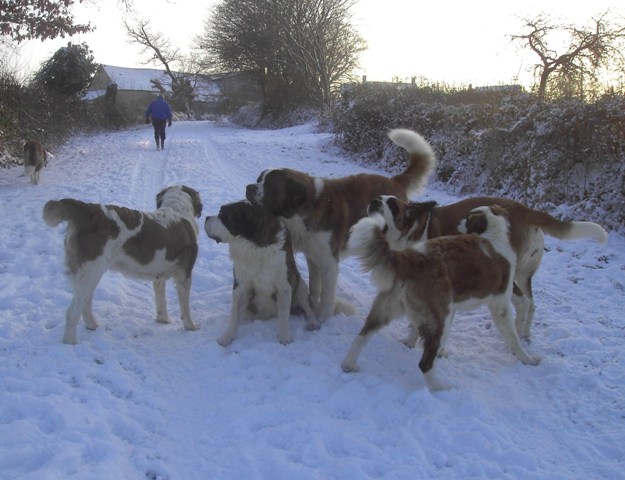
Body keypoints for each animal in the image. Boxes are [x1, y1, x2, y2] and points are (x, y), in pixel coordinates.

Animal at [42, 185, 202, 344]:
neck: (178, 209)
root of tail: (87, 209)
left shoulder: (158, 276)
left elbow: (161, 299)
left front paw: (163, 319)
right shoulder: (184, 274)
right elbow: (185, 306)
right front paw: (191, 326)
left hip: (88, 275)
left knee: (85, 303)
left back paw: (92, 325)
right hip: (90, 271)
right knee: (72, 312)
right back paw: (70, 342)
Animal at [205, 201, 316, 346]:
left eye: (222, 215)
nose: (206, 218)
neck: (254, 245)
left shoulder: (284, 286)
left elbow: (284, 315)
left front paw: (284, 336)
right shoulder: (240, 285)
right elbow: (234, 314)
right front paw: (227, 337)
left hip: (300, 285)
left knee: (308, 307)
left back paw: (313, 322)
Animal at [246, 128, 436, 322]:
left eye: (269, 186)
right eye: (259, 179)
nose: (249, 187)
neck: (306, 206)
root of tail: (394, 181)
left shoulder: (329, 262)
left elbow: (327, 296)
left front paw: (324, 319)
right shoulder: (313, 255)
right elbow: (315, 285)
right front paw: (312, 303)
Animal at [338, 203, 540, 390]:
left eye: (467, 218)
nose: (458, 222)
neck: (492, 234)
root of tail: (410, 258)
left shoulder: (451, 307)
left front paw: (436, 350)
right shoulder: (500, 305)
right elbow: (512, 337)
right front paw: (527, 358)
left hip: (389, 307)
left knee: (361, 337)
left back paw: (349, 364)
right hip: (436, 318)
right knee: (425, 363)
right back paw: (441, 388)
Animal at [368, 196, 608, 342]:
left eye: (391, 205)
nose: (374, 201)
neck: (413, 230)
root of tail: (527, 210)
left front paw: (412, 341)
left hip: (508, 274)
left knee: (523, 302)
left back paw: (516, 332)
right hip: (523, 274)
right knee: (531, 303)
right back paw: (524, 335)